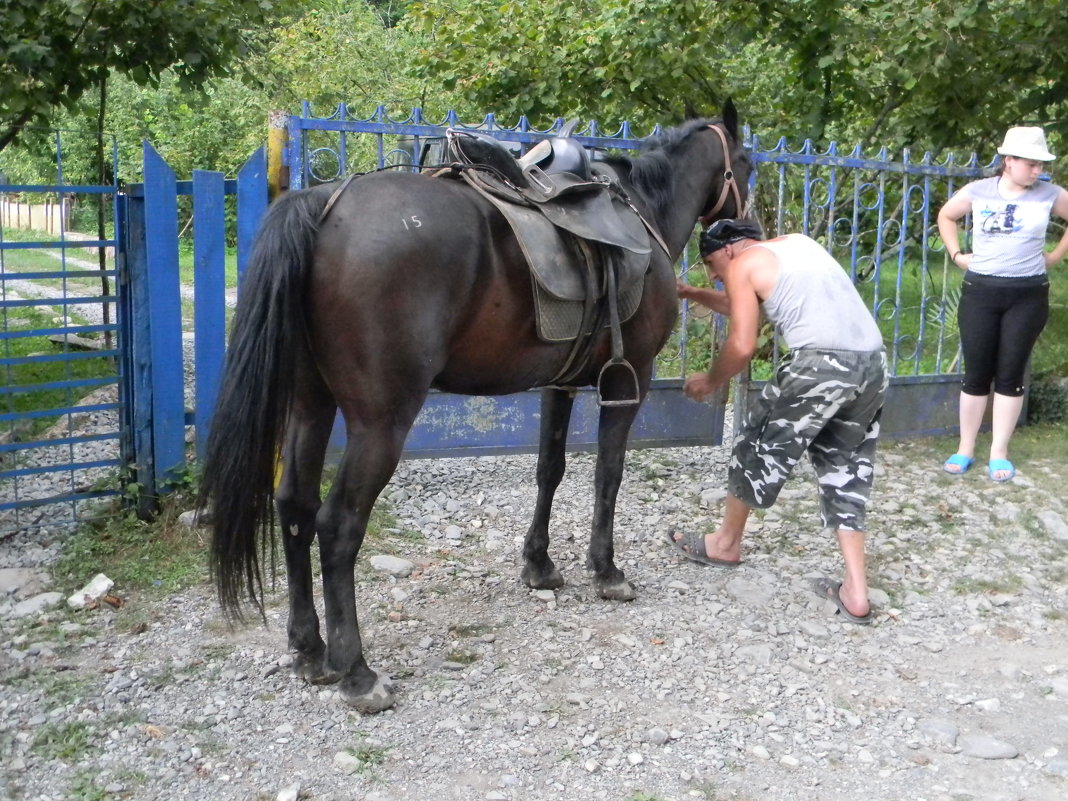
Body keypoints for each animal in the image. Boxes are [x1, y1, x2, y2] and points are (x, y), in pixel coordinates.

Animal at [200, 101, 751, 713]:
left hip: (310, 404)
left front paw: (539, 564)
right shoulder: (630, 380)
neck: (639, 211)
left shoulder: (559, 386)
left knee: (294, 506)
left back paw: (309, 649)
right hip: (380, 423)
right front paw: (607, 571)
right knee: (338, 525)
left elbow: (550, 470)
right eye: (747, 165)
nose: (744, 228)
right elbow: (608, 474)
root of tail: (325, 204)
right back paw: (358, 672)